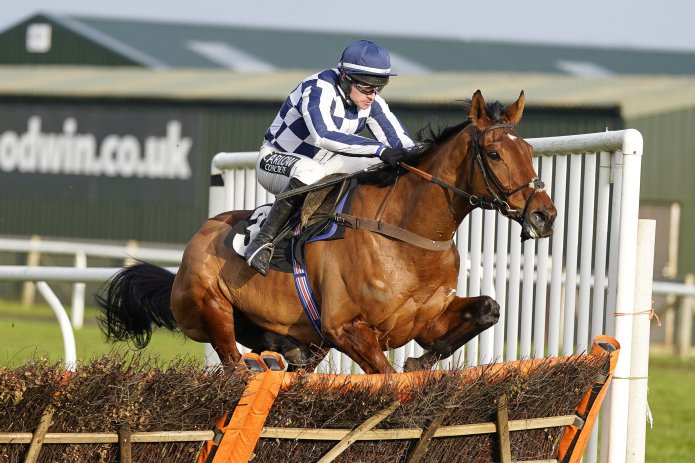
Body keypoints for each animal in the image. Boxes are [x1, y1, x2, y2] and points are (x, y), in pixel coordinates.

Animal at [97, 90, 556, 374]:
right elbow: (386, 374)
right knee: (233, 362)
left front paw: (421, 362)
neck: (407, 237)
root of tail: (191, 247)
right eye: (494, 154)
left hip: (306, 340)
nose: (544, 216)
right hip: (213, 311)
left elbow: (488, 309)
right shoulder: (347, 328)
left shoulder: (423, 320)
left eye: (528, 150)